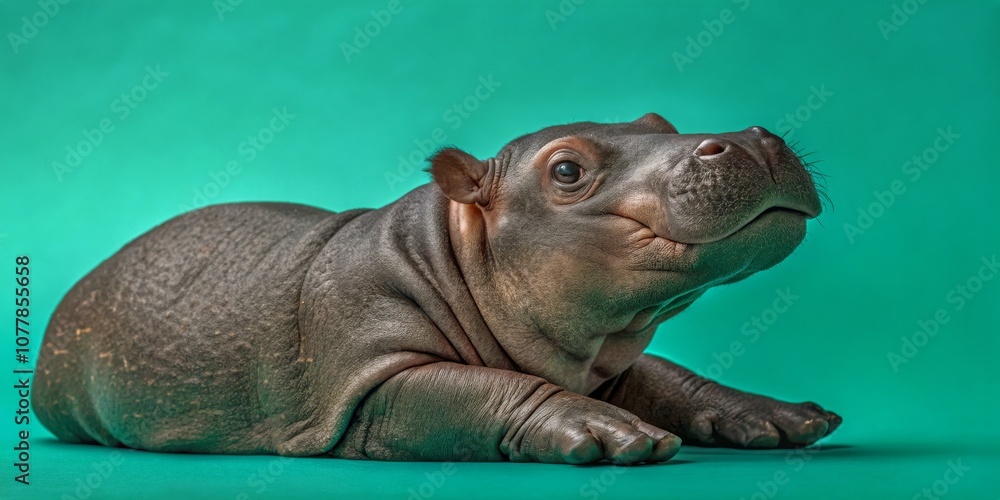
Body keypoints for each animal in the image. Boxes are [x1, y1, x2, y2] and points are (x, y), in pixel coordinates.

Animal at [33, 113, 841, 465]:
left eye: (658, 121)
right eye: (567, 170)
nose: (753, 137)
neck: (451, 253)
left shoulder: (603, 356)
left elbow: (670, 377)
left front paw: (784, 418)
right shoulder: (369, 375)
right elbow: (479, 390)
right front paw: (615, 436)